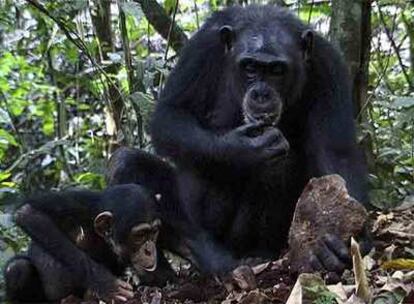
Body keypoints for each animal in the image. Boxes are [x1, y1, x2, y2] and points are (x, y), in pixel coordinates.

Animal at [5, 184, 163, 302]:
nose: (149, 250)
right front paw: (105, 283)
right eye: (140, 235)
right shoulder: (78, 202)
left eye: (154, 232)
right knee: (17, 268)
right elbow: (28, 212)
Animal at [150, 6, 368, 274]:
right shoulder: (200, 49)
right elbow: (170, 115)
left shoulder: (328, 66)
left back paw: (260, 252)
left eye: (277, 70)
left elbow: (336, 151)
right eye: (250, 67)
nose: (262, 94)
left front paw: (344, 240)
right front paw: (241, 150)